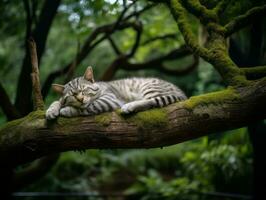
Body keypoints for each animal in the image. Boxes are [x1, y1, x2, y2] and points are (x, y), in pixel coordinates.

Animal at [45, 66, 187, 119]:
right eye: (73, 95)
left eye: (84, 90)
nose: (80, 99)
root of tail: (182, 93)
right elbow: (56, 101)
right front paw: (51, 110)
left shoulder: (110, 99)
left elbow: (87, 107)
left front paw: (67, 110)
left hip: (149, 87)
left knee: (152, 102)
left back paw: (130, 106)